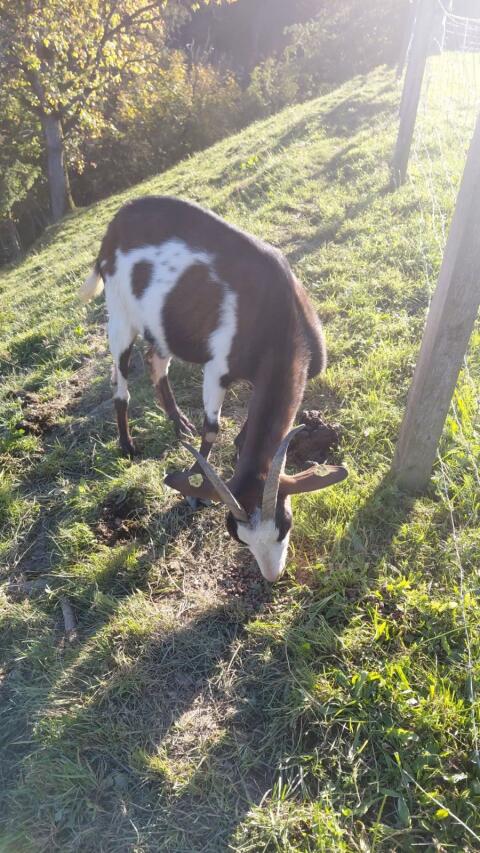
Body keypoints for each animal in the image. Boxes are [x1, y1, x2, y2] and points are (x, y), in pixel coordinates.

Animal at [80, 196, 347, 580]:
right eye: (238, 537)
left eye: (285, 524)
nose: (272, 576)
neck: (279, 317)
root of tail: (114, 226)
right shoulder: (218, 368)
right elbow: (212, 427)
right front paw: (195, 486)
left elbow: (243, 427)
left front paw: (234, 450)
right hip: (119, 311)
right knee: (121, 374)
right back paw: (127, 444)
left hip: (163, 323)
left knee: (154, 360)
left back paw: (178, 424)